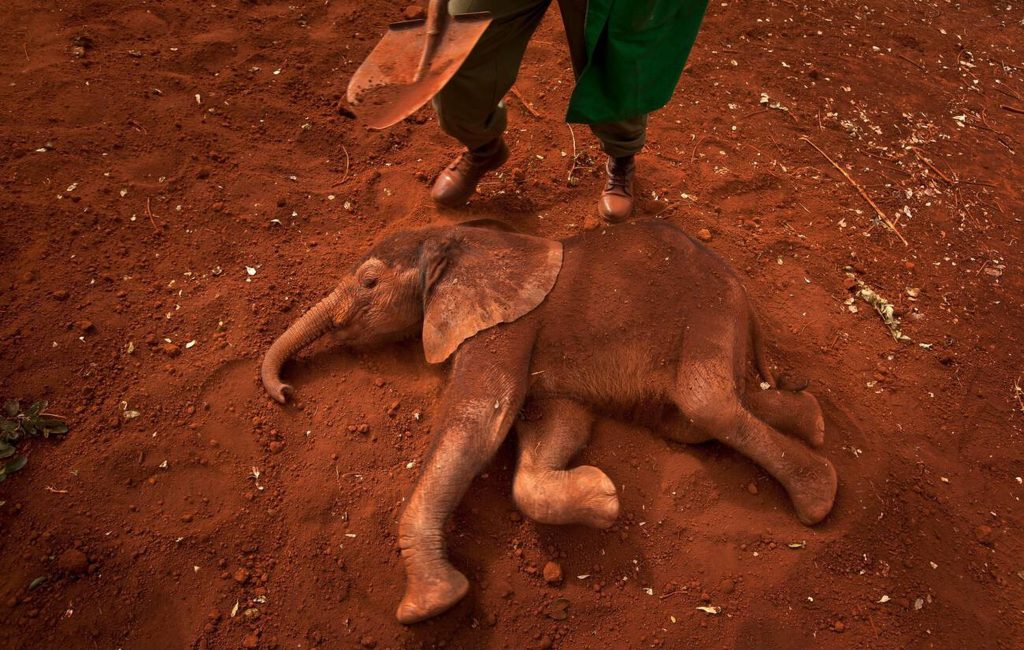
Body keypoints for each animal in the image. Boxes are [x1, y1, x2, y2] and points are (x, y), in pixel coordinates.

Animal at [261, 219, 837, 624]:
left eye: (369, 281)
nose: (287, 393)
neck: (459, 240)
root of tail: (744, 293)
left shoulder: (507, 326)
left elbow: (477, 425)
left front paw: (430, 606)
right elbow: (557, 425)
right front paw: (603, 499)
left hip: (706, 311)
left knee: (708, 403)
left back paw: (819, 500)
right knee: (697, 415)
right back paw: (813, 420)